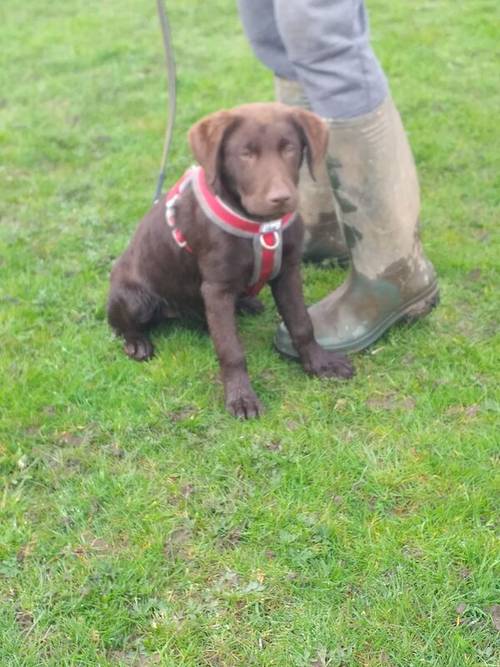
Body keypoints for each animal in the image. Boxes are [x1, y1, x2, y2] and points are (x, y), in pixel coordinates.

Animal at [107, 100, 354, 418]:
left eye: (289, 148)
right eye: (245, 154)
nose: (281, 198)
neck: (262, 228)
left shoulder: (288, 271)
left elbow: (301, 323)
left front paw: (320, 363)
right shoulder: (216, 289)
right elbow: (231, 350)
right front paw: (241, 398)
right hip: (135, 299)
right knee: (121, 324)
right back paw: (136, 343)